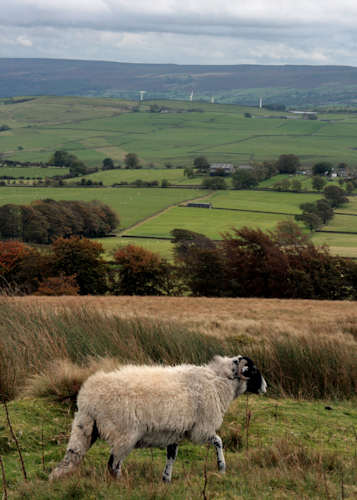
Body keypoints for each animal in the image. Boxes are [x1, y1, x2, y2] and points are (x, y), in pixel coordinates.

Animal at [50, 354, 268, 482]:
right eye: (254, 370)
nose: (265, 387)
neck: (218, 383)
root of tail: (88, 400)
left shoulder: (174, 432)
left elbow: (172, 455)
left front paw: (166, 479)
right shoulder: (201, 429)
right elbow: (219, 441)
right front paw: (222, 467)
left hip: (86, 429)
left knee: (76, 455)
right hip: (124, 435)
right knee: (113, 465)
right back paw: (121, 484)